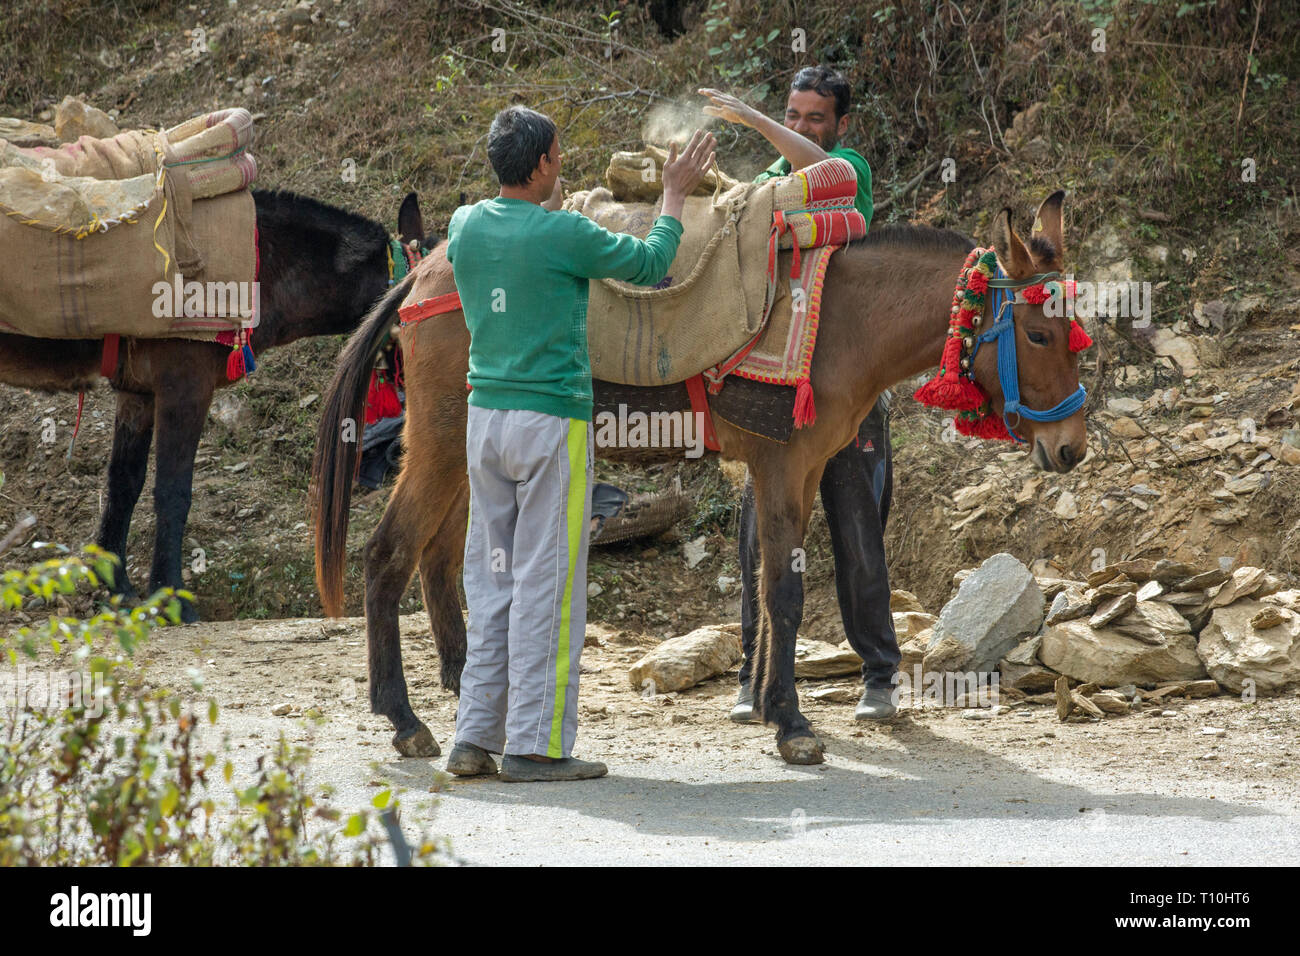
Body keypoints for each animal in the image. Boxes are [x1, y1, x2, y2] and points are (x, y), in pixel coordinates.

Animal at [0, 190, 429, 621]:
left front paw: (116, 587)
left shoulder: (138, 392)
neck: (261, 266)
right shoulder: (185, 386)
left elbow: (124, 483)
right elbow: (172, 491)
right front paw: (172, 597)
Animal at [310, 190, 1088, 765]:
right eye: (1039, 334)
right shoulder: (782, 464)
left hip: (466, 450)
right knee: (387, 555)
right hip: (441, 443)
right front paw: (792, 725)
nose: (1071, 448)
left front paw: (772, 705)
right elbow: (784, 593)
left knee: (437, 559)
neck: (839, 320)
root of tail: (426, 272)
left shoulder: (801, 470)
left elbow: (775, 589)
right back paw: (404, 718)